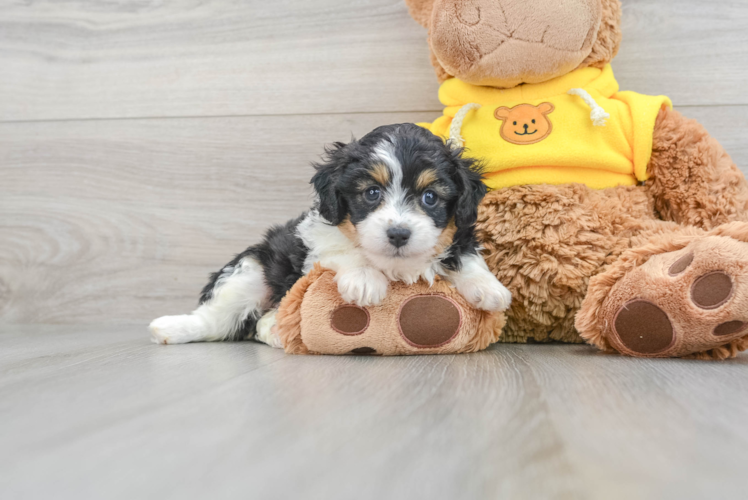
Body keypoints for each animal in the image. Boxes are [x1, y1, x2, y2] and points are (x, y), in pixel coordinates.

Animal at [149, 123, 512, 346]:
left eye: (430, 198)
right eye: (371, 194)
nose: (398, 233)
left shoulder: (460, 234)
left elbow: (464, 254)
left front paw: (489, 288)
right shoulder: (314, 237)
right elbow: (342, 248)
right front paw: (365, 280)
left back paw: (275, 329)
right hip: (251, 270)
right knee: (217, 319)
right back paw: (171, 328)